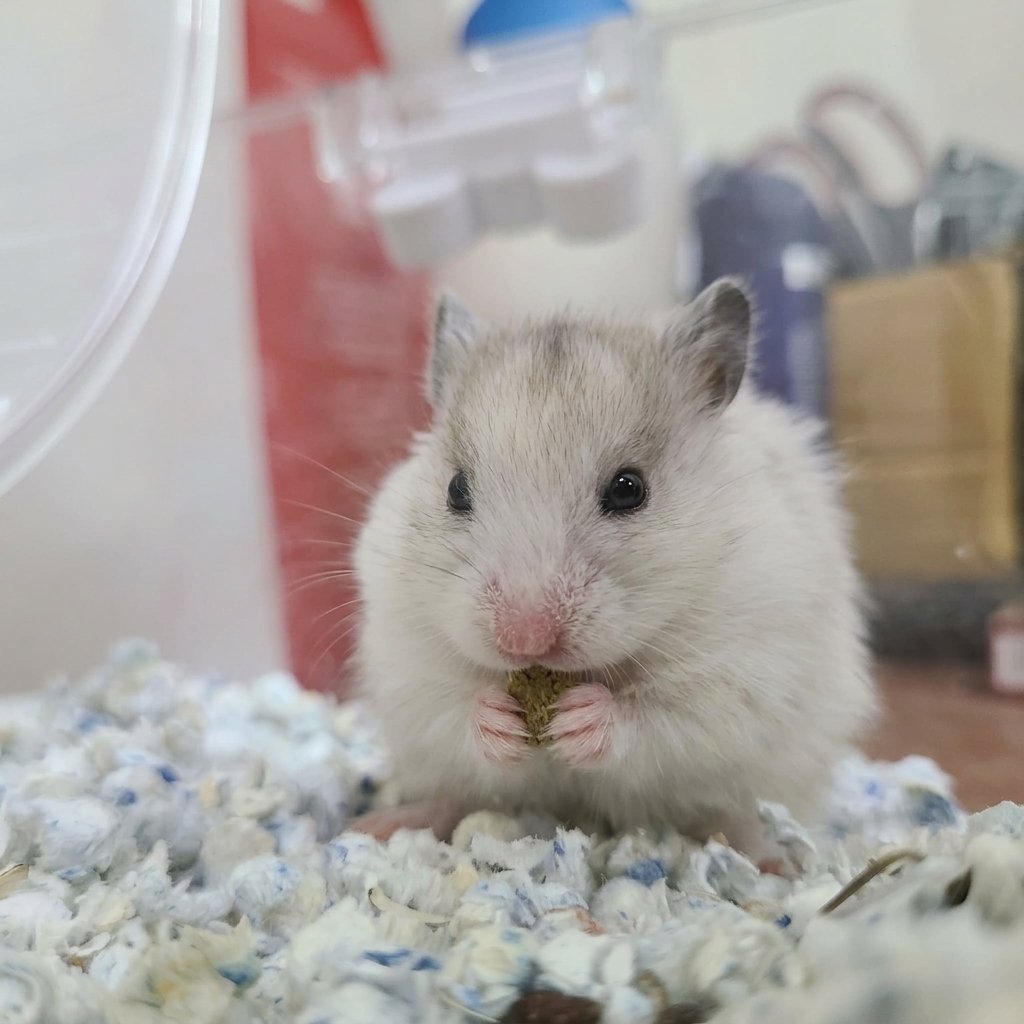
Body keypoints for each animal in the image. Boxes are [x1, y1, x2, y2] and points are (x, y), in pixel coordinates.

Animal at [352, 279, 876, 853]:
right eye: (455, 489)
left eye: (629, 490)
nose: (523, 640)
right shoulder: (406, 660)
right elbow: (453, 704)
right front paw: (501, 721)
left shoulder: (741, 671)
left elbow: (657, 718)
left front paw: (578, 721)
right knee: (453, 795)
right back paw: (377, 825)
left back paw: (769, 856)